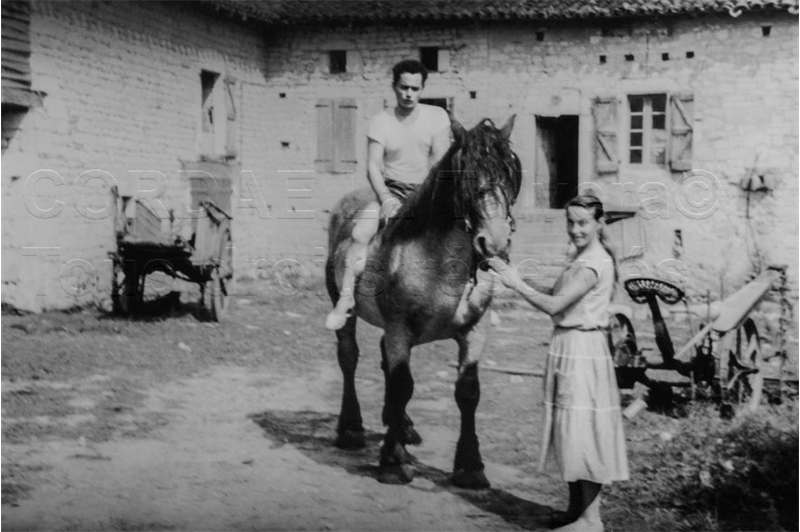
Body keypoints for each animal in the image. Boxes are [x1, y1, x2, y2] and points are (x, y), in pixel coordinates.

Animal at [325, 115, 522, 488]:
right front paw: (392, 462)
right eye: (465, 175)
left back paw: (402, 427)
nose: (495, 244)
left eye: (510, 174)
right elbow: (402, 385)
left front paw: (470, 466)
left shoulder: (475, 330)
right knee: (349, 358)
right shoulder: (400, 327)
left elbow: (467, 391)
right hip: (349, 310)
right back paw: (352, 429)